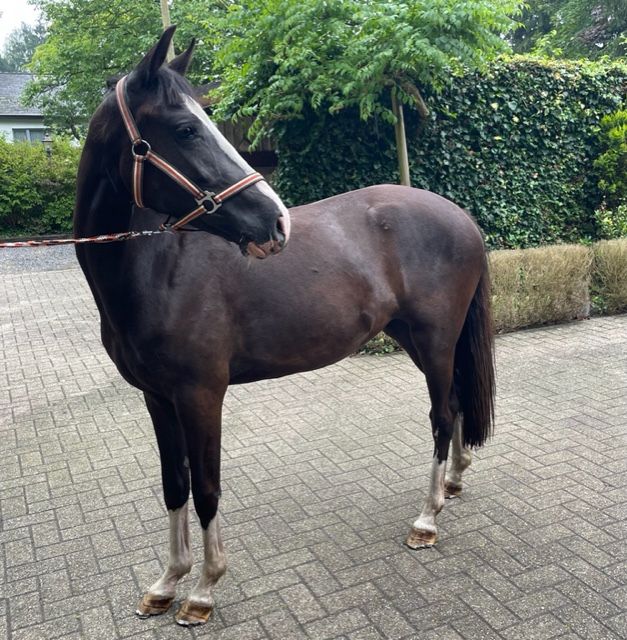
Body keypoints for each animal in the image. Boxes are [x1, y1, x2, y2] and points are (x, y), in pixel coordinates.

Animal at [74, 27, 495, 626]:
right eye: (185, 128)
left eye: (203, 120)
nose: (275, 221)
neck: (157, 267)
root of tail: (460, 216)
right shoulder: (157, 398)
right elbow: (174, 485)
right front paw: (166, 582)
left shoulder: (201, 395)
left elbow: (206, 488)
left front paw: (203, 589)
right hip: (417, 340)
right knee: (456, 404)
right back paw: (453, 484)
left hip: (435, 340)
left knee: (441, 414)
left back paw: (426, 519)